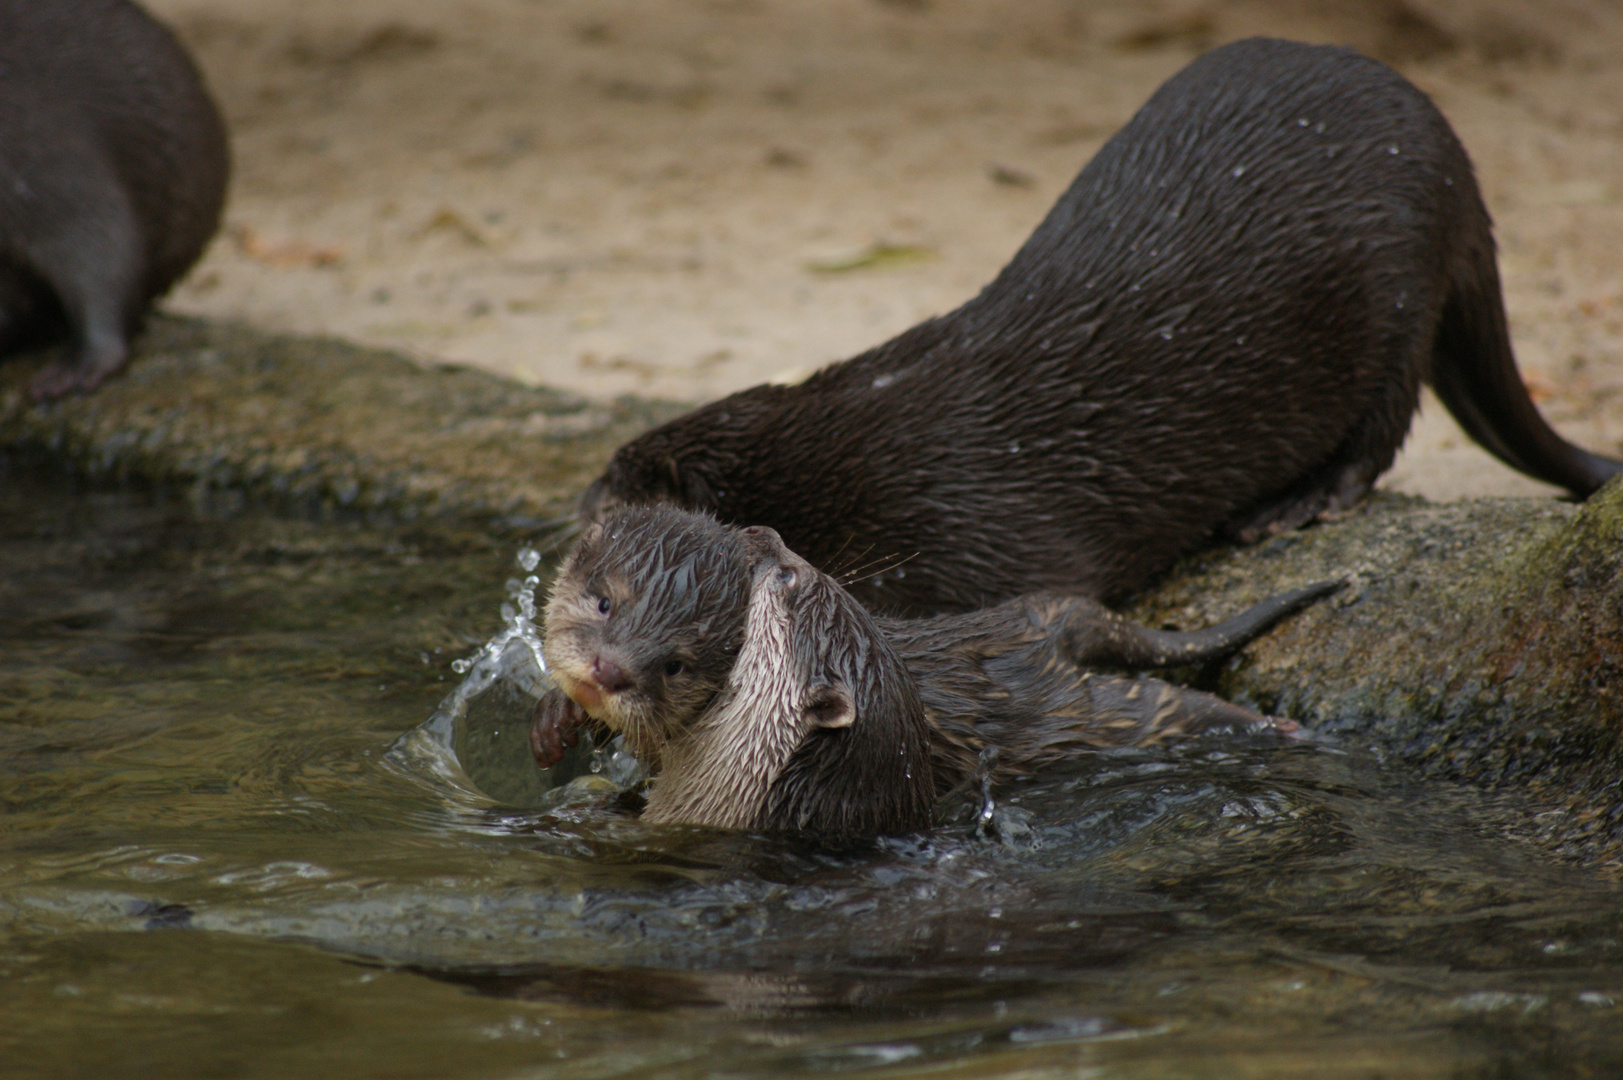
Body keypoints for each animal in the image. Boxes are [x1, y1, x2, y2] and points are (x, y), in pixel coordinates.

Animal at [525, 506, 1337, 831]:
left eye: (676, 664)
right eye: (603, 602)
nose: (760, 530)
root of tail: (1047, 625)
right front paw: (558, 721)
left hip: (1111, 714)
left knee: (1176, 704)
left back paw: (1278, 727)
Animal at [577, 35, 1616, 613]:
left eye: (601, 516)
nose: (573, 518)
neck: (846, 466)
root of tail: (1453, 157)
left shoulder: (967, 529)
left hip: (1400, 277)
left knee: (1380, 427)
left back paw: (1294, 506)